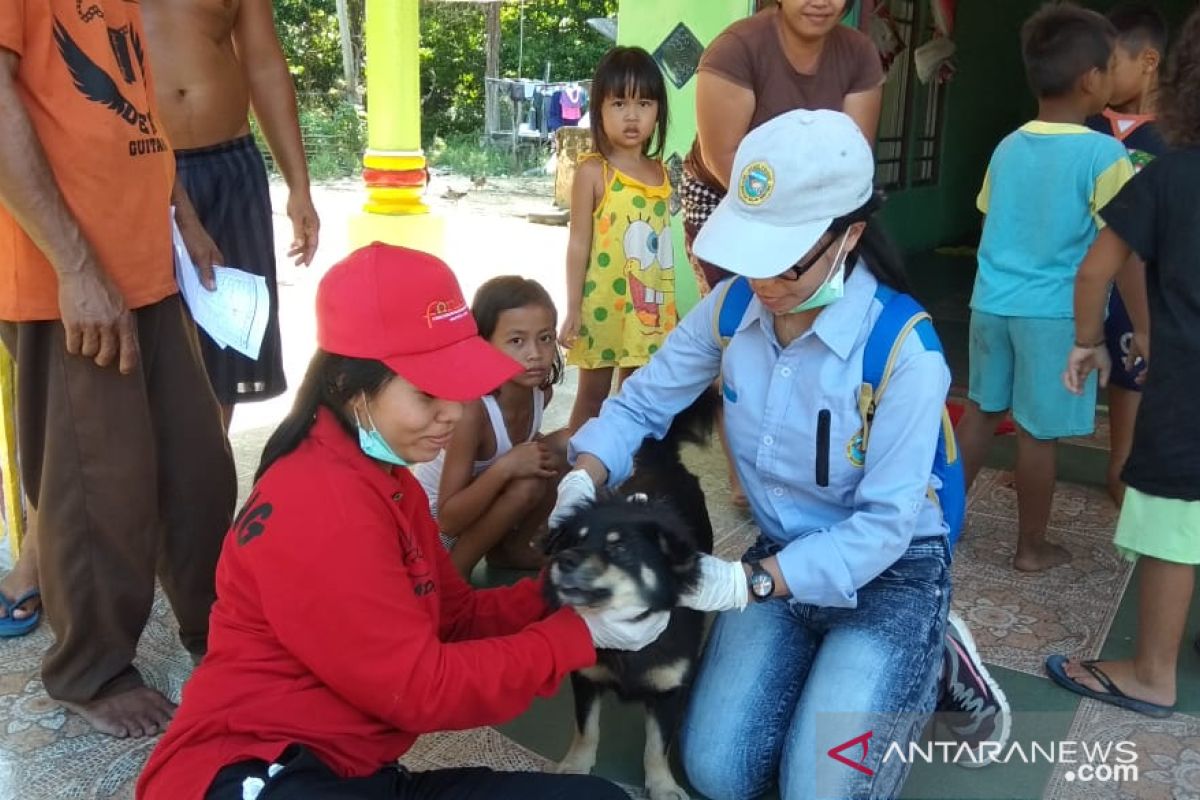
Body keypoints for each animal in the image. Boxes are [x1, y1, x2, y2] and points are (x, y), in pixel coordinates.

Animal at [549, 393, 715, 800]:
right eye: (574, 539)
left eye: (619, 548)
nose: (564, 560)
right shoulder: (586, 678)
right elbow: (586, 728)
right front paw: (576, 766)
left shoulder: (669, 692)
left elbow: (656, 746)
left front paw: (662, 785)